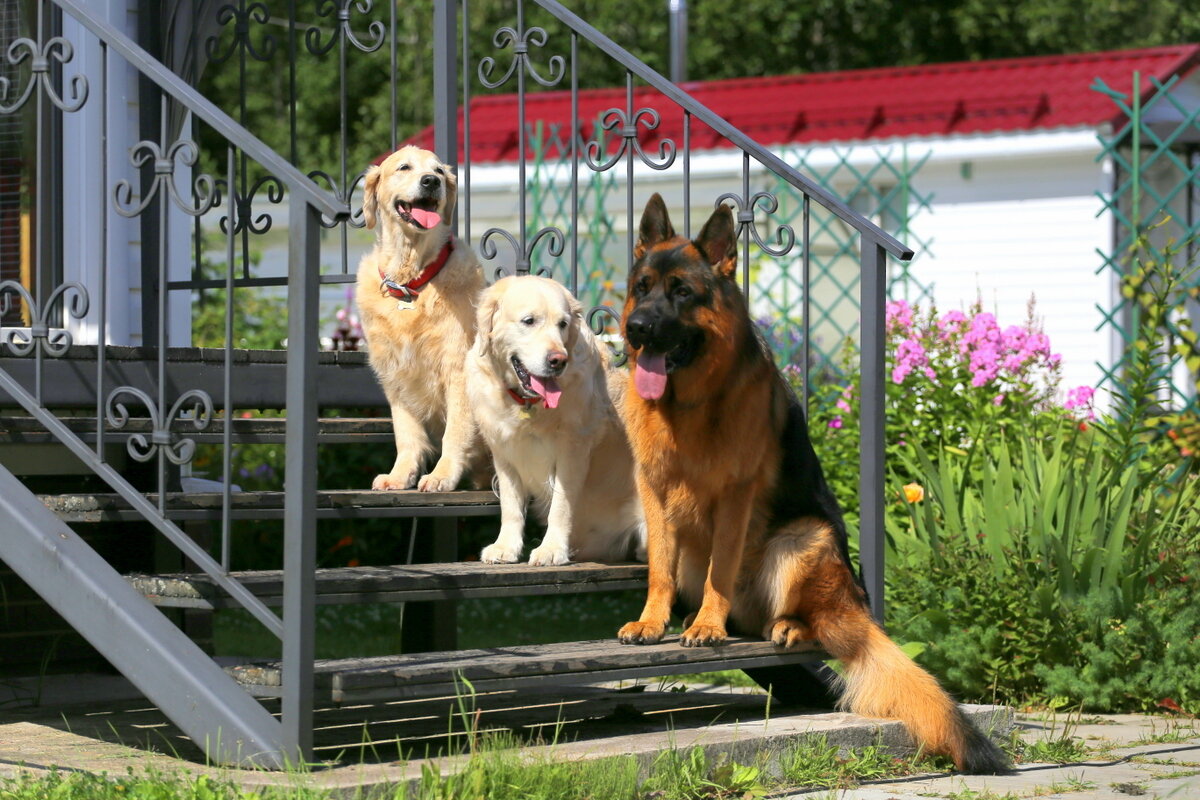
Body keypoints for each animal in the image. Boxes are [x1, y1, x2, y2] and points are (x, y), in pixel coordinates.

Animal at [355, 146, 487, 491]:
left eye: (439, 171)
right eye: (404, 167)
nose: (430, 182)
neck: (411, 282)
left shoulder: (458, 368)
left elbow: (456, 430)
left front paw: (442, 475)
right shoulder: (394, 373)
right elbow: (407, 434)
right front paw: (400, 475)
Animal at [465, 278, 648, 566]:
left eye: (562, 324)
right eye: (529, 321)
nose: (558, 360)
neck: (527, 404)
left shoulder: (572, 451)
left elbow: (561, 507)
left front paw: (551, 549)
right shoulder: (504, 451)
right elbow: (510, 505)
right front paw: (505, 547)